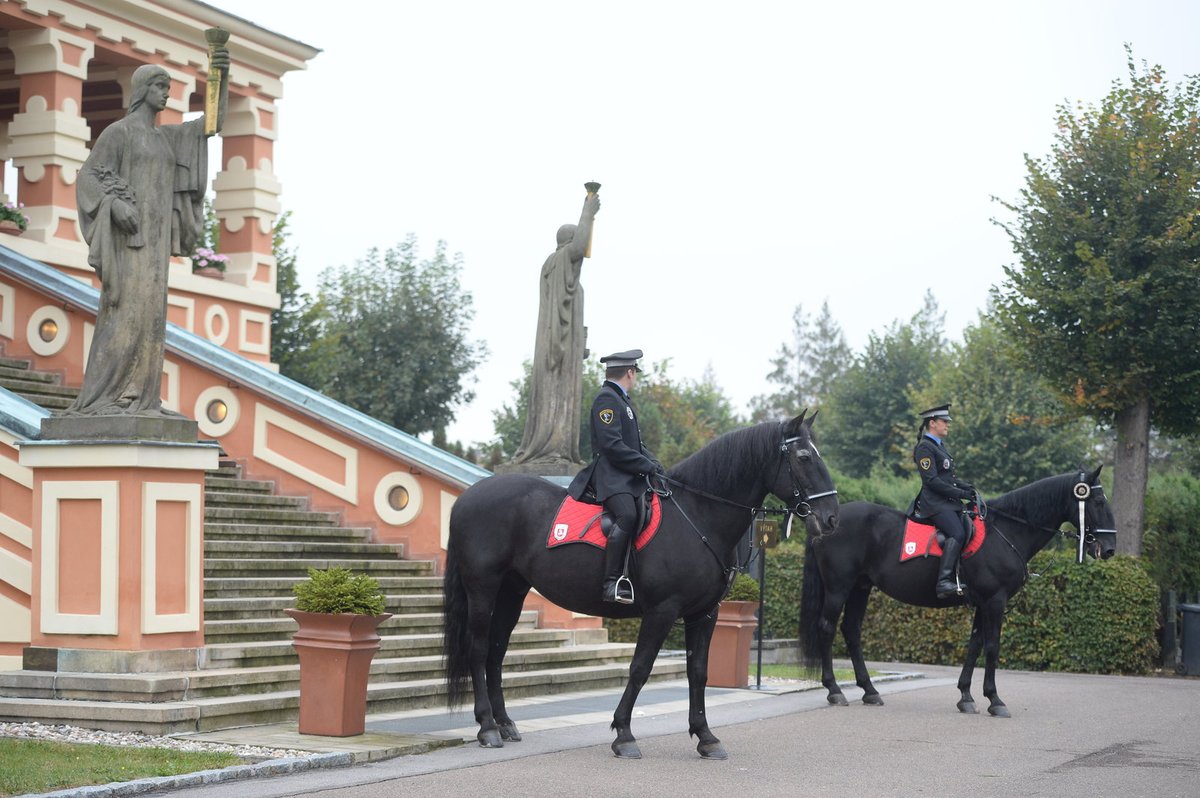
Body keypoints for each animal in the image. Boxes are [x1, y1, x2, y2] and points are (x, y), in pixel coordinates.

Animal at [446, 412, 840, 758]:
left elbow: (698, 672)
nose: (832, 518)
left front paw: (706, 736)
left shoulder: (705, 614)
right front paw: (623, 733)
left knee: (497, 651)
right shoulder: (662, 611)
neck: (697, 516)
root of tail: (468, 495)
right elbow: (640, 668)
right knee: (479, 649)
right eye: (804, 457)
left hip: (512, 590)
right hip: (483, 588)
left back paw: (505, 723)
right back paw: (487, 727)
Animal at [801, 463, 1118, 710]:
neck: (1007, 532)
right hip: (839, 587)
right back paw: (835, 690)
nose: (1110, 549)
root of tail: (829, 521)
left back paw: (869, 691)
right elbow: (992, 646)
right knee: (827, 628)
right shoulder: (995, 601)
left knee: (851, 630)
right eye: (1098, 502)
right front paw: (995, 700)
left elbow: (975, 645)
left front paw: (966, 696)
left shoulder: (983, 602)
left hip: (861, 587)